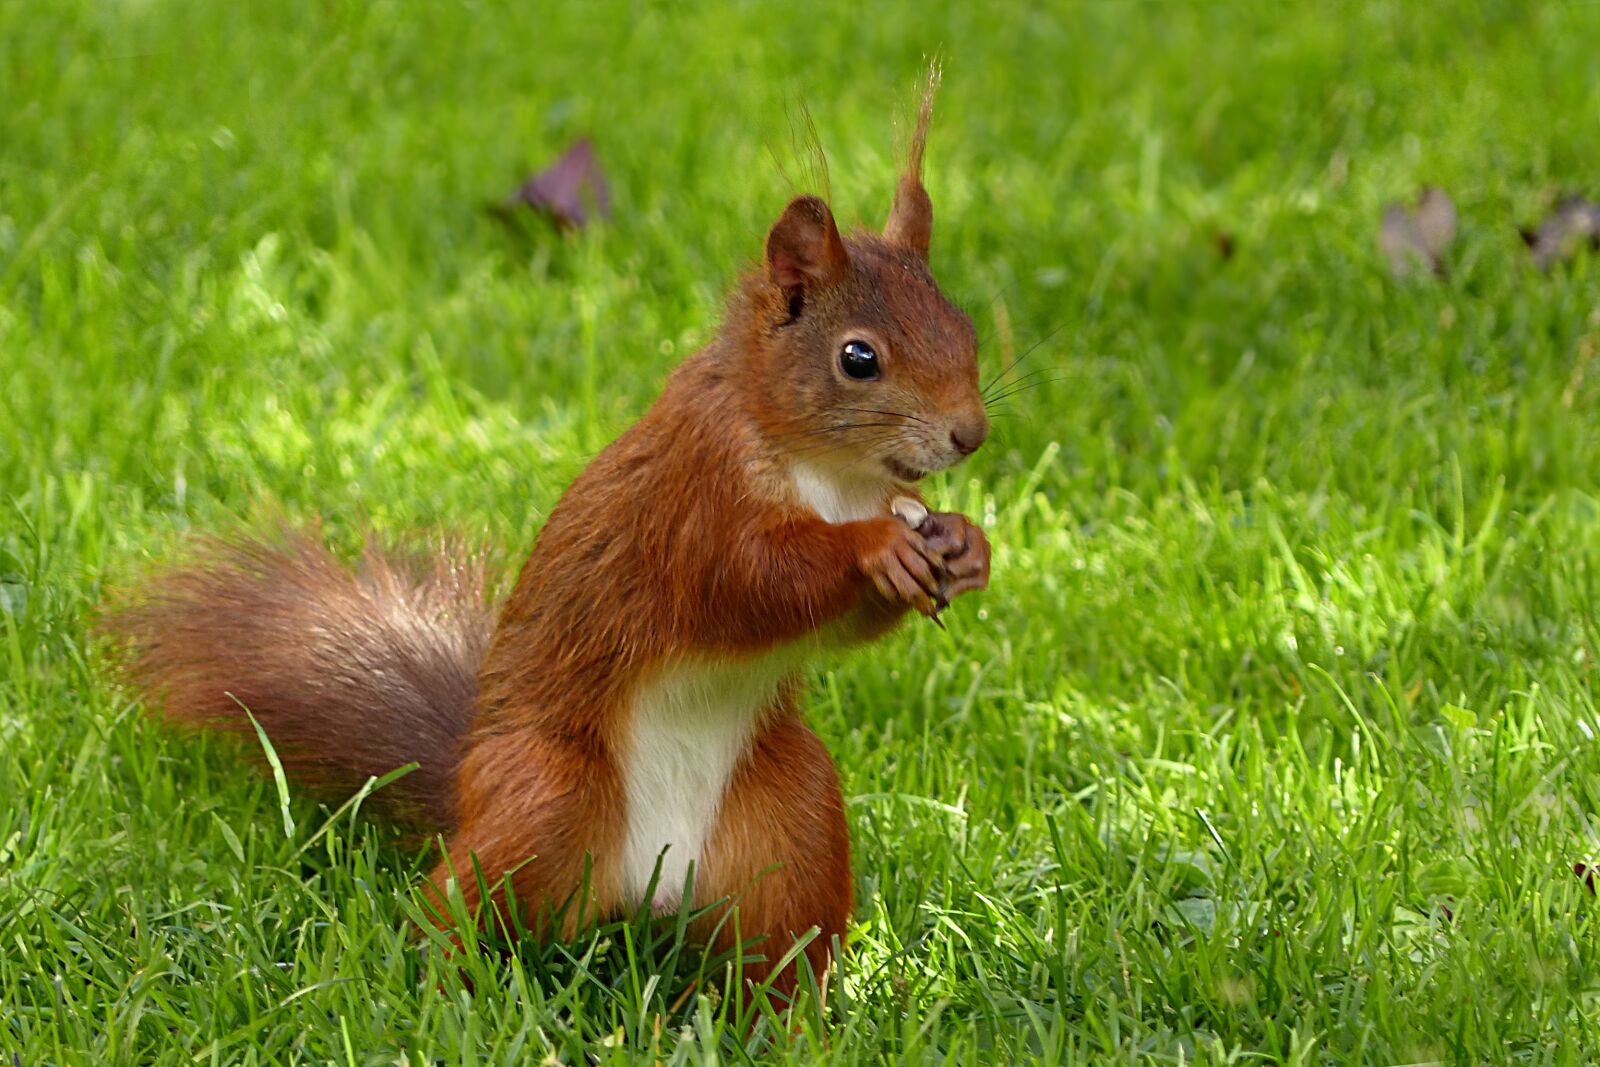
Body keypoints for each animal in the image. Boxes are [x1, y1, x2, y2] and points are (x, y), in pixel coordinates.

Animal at [106, 78, 991, 998]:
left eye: (964, 326)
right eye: (859, 358)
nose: (971, 434)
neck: (829, 473)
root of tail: (648, 886)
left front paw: (966, 546)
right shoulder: (691, 501)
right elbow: (752, 578)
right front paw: (874, 550)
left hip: (792, 816)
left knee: (779, 941)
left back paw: (793, 1013)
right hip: (547, 796)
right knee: (461, 899)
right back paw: (437, 982)